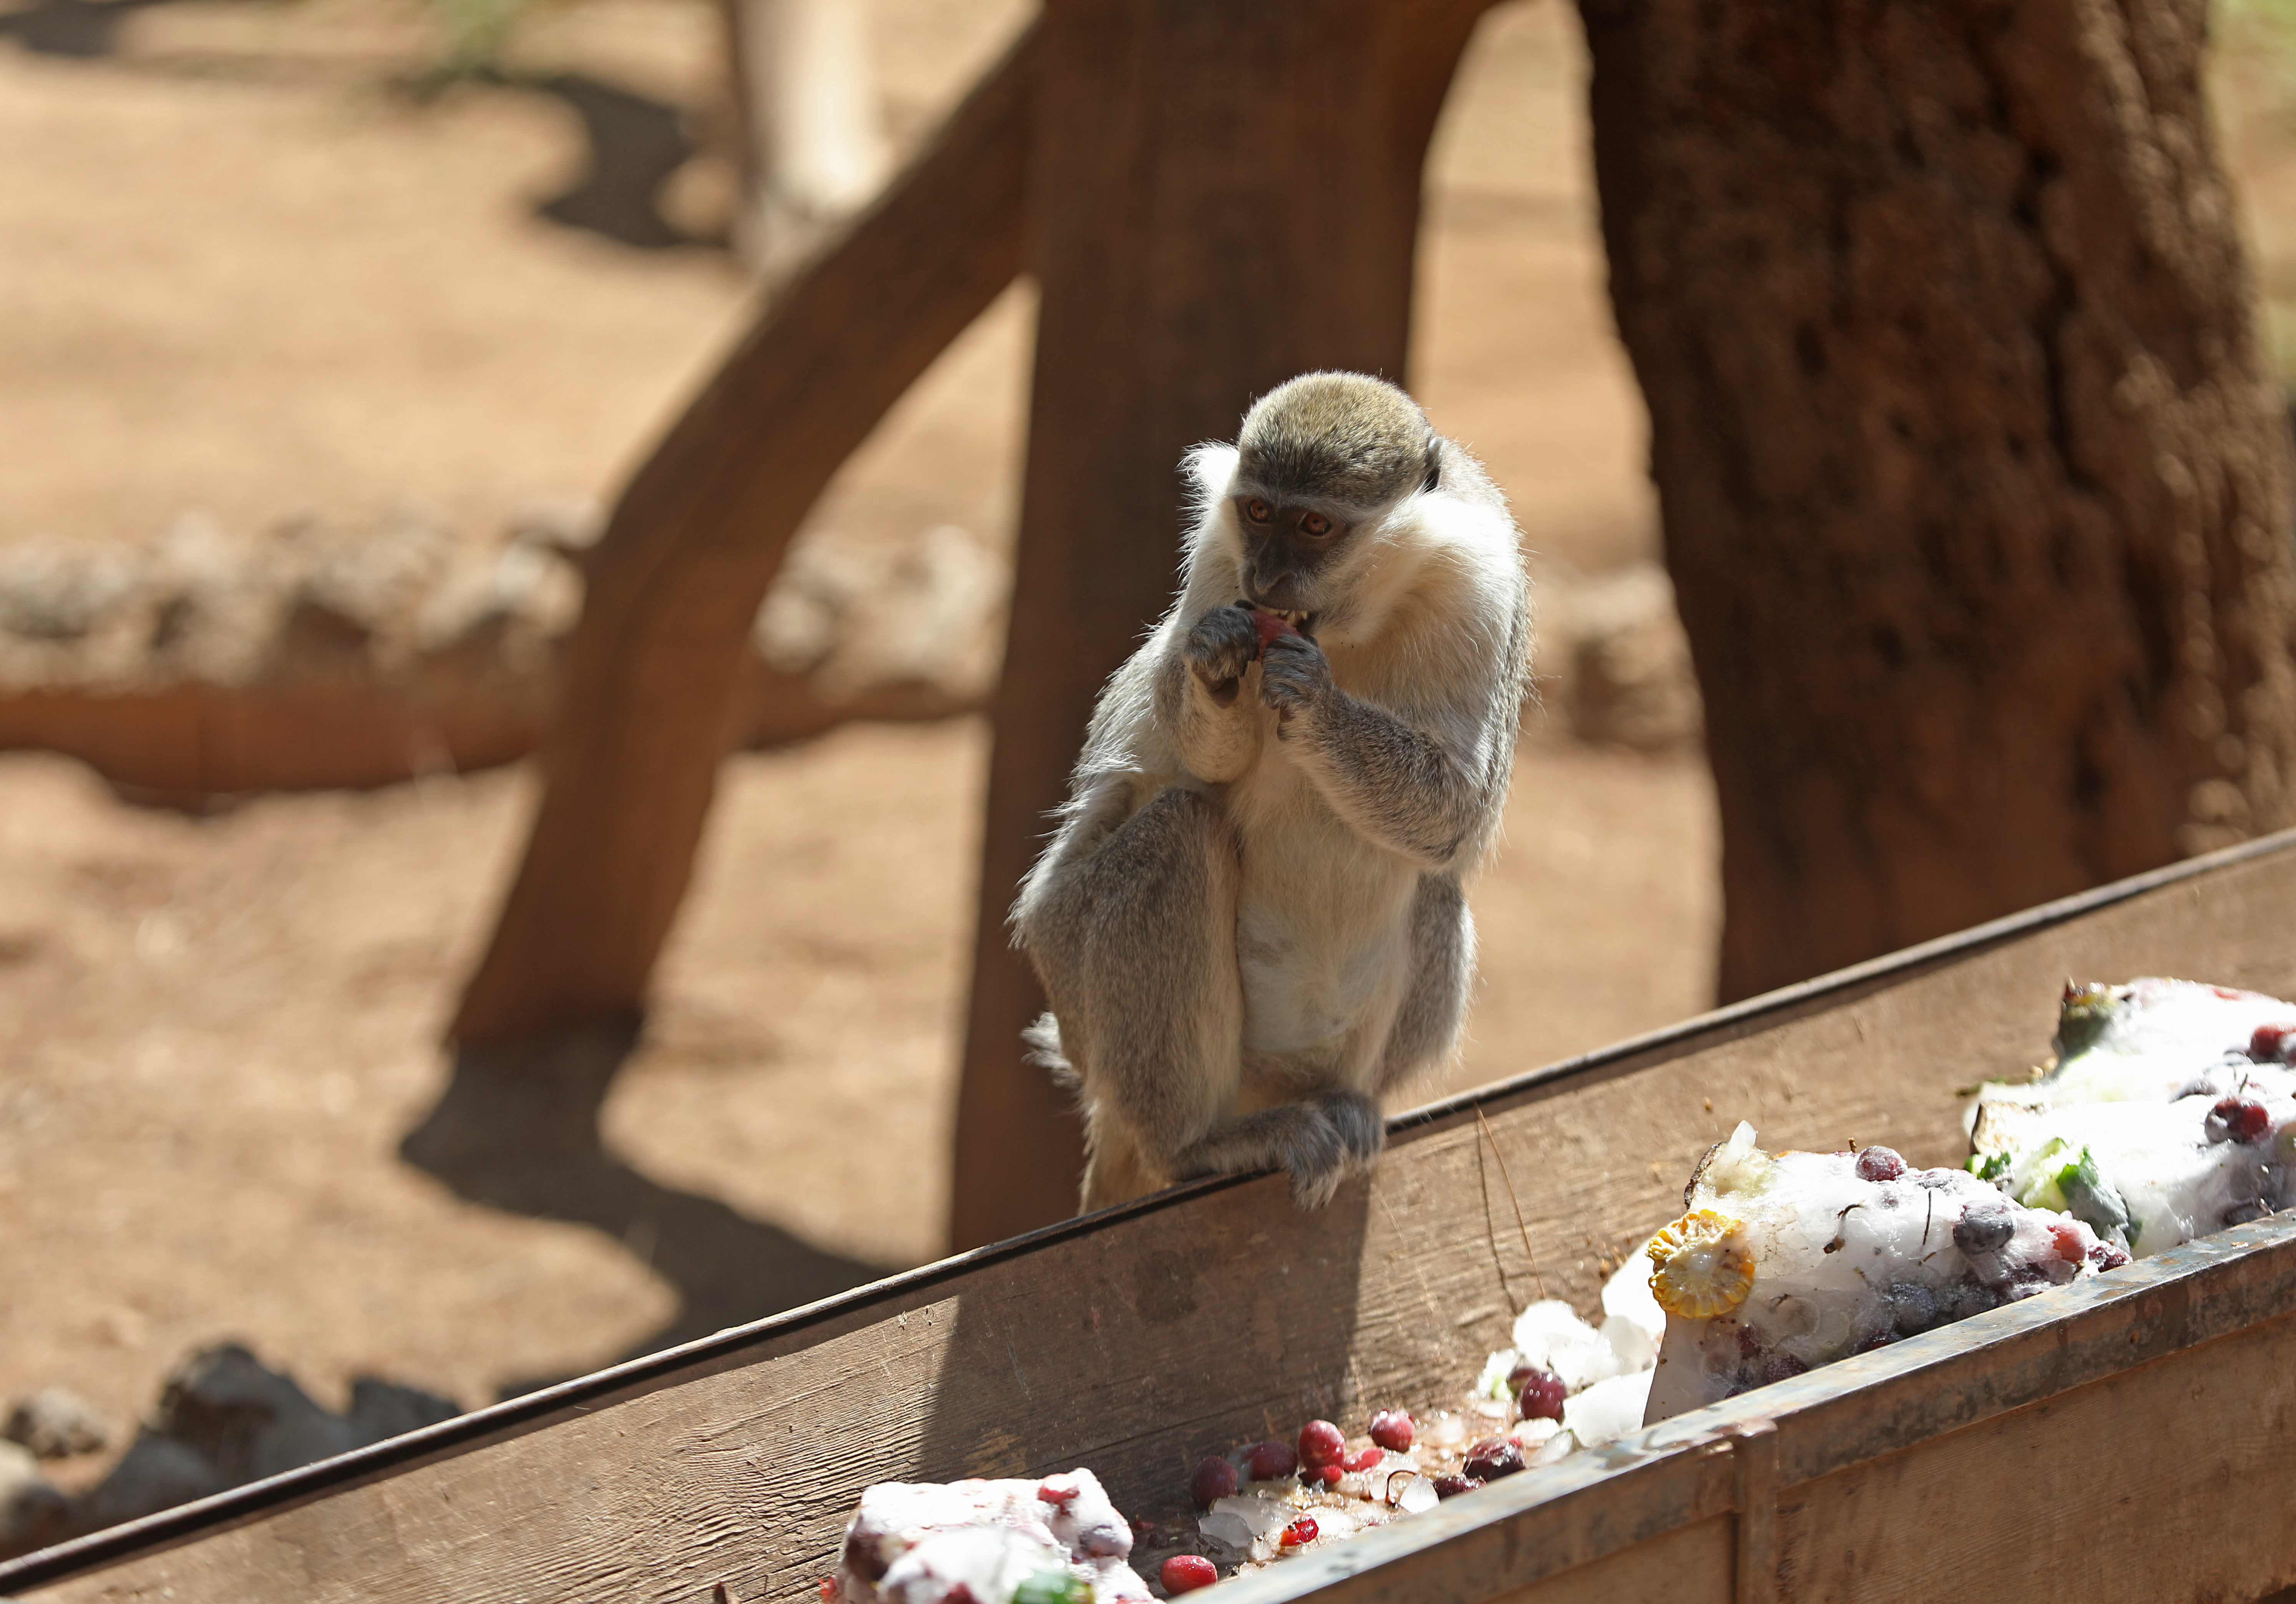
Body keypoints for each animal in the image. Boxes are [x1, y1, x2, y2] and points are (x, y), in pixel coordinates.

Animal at [1015, 369, 1533, 1211]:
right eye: (1259, 512)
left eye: (1315, 525)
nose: (1266, 579)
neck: (1350, 623)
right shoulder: (1217, 556)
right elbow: (1199, 754)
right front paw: (1216, 666)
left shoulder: (1480, 587)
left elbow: (1460, 812)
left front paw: (1316, 705)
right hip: (1074, 981)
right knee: (1180, 828)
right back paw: (1193, 1143)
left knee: (1433, 883)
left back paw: (1342, 1106)